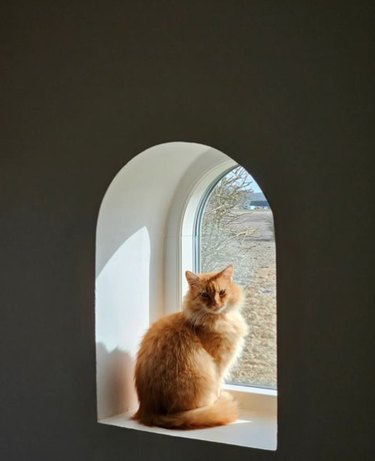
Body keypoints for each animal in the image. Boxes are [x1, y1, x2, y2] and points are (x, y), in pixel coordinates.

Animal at [132, 264, 250, 430]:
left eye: (222, 292)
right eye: (204, 295)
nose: (216, 304)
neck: (220, 319)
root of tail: (151, 412)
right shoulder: (218, 363)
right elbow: (218, 385)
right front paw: (218, 398)